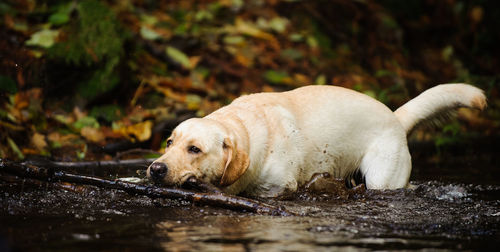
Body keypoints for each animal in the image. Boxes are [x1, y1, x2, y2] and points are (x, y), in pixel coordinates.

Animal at [146, 84, 486, 197]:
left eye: (195, 149)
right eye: (169, 142)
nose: (155, 169)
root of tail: (395, 117)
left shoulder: (279, 188)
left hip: (383, 178)